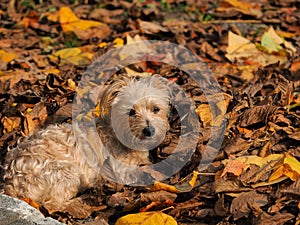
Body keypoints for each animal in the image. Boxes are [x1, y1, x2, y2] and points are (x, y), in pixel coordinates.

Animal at [1, 75, 171, 214]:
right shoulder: (122, 170)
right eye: (131, 112)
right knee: (51, 204)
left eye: (156, 109)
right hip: (66, 172)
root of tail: (9, 183)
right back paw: (79, 204)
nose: (149, 130)